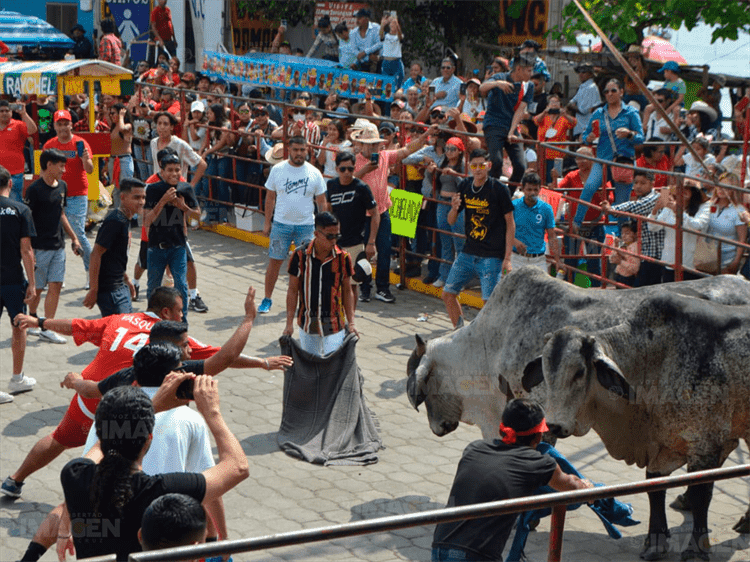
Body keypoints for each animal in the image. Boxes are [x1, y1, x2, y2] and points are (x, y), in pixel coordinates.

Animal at [524, 290, 750, 556]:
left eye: (579, 372)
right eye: (546, 372)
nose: (554, 425)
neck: (655, 360)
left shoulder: (705, 444)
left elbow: (701, 495)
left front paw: (696, 550)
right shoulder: (663, 444)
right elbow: (654, 486)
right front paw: (656, 542)